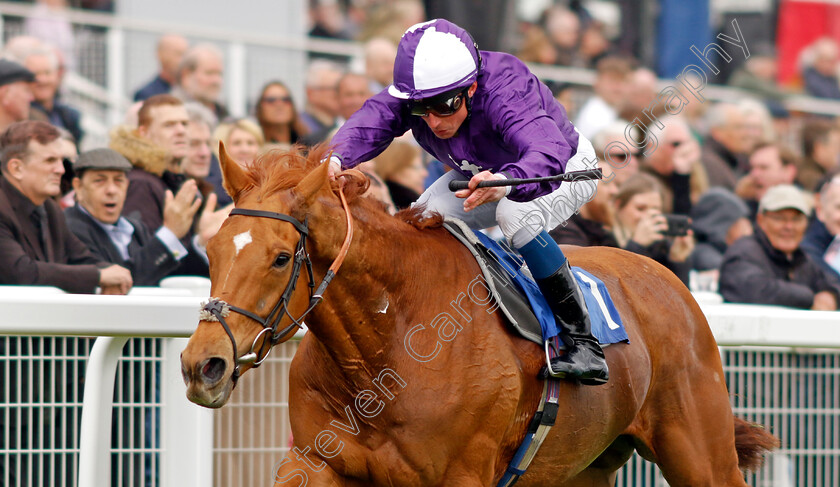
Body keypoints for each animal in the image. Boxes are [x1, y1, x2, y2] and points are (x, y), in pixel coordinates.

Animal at [180, 147, 776, 486]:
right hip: (579, 470)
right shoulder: (315, 461)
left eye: (281, 257)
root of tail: (671, 280)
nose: (202, 364)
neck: (388, 346)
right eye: (210, 249)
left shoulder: (462, 473)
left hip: (702, 455)